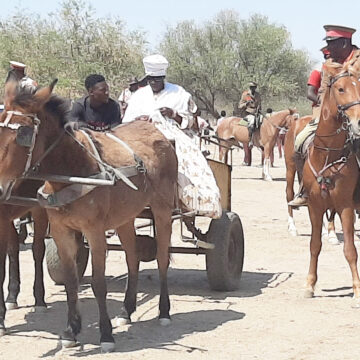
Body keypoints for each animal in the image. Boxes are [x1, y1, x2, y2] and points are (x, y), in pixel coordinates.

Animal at [0, 79, 179, 352]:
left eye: (23, 133)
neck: (73, 171)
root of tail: (156, 131)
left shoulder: (94, 232)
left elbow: (98, 282)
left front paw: (106, 335)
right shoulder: (61, 231)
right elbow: (71, 281)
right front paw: (70, 331)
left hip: (162, 210)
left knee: (161, 259)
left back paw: (164, 312)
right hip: (125, 216)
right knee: (133, 258)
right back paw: (126, 311)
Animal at [300, 62, 360, 300]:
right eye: (340, 89)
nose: (359, 121)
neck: (328, 155)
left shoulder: (345, 207)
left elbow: (350, 250)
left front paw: (357, 289)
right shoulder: (314, 206)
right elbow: (314, 245)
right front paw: (309, 285)